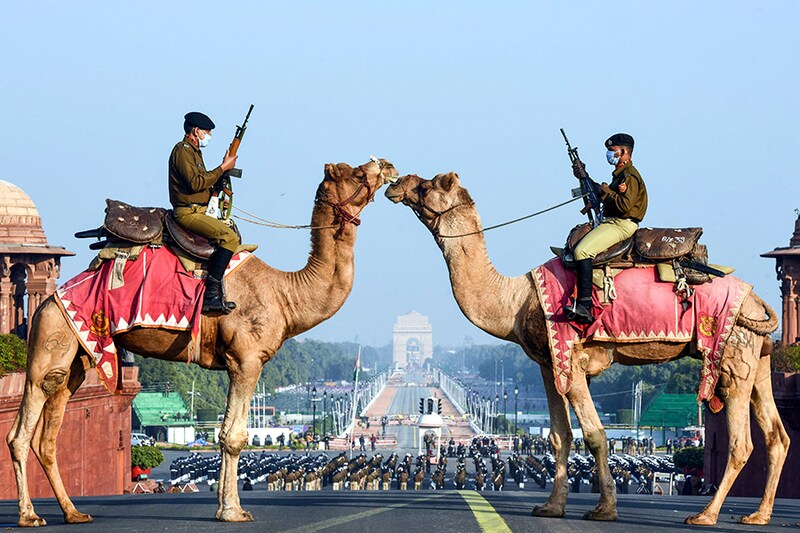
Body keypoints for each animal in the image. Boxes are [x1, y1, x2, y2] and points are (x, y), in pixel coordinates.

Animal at [6, 158, 397, 527]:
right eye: (356, 173)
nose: (386, 166)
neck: (286, 294)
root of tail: (49, 301)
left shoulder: (239, 363)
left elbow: (225, 434)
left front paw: (227, 507)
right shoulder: (246, 359)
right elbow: (233, 436)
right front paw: (232, 511)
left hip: (76, 358)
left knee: (49, 433)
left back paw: (73, 512)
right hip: (51, 340)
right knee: (21, 432)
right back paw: (29, 515)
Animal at [386, 172, 790, 526]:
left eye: (427, 186)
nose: (396, 182)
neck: (516, 299)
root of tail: (757, 300)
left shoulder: (574, 359)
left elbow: (595, 436)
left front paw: (604, 509)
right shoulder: (548, 361)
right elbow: (558, 436)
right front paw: (551, 507)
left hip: (732, 351)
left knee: (741, 441)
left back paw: (706, 515)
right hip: (757, 357)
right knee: (776, 435)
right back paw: (758, 515)